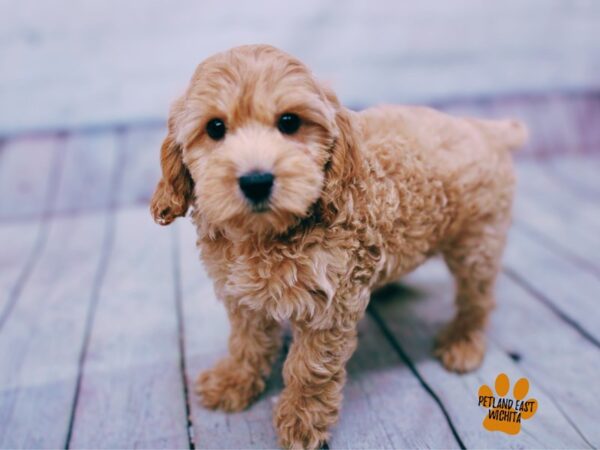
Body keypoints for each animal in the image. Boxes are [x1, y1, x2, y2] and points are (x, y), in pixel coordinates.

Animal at [150, 44, 524, 446]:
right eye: (215, 128)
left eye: (289, 122)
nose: (256, 180)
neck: (268, 233)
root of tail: (482, 128)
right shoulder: (243, 297)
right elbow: (246, 342)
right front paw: (234, 381)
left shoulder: (329, 306)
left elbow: (309, 367)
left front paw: (301, 420)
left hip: (477, 241)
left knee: (477, 297)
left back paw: (463, 342)